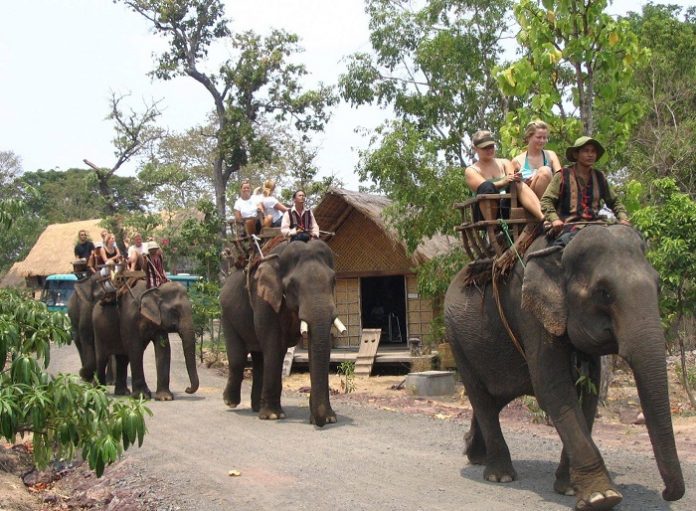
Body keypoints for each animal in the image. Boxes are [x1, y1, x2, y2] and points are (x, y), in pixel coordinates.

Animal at [220, 240, 340, 428]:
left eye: (333, 280)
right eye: (293, 285)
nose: (319, 423)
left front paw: (329, 418)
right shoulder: (264, 299)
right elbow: (275, 345)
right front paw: (273, 416)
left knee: (259, 358)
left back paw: (256, 407)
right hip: (227, 314)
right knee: (239, 358)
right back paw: (231, 402)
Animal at [444, 226, 684, 511]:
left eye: (658, 286)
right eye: (604, 293)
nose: (667, 493)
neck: (561, 250)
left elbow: (588, 394)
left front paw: (569, 488)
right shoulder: (530, 313)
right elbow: (553, 388)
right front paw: (602, 497)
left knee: (494, 399)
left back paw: (475, 455)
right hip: (457, 341)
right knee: (482, 399)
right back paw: (499, 475)